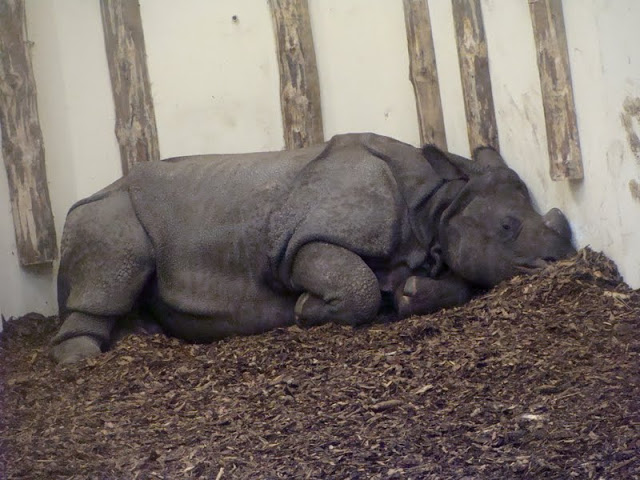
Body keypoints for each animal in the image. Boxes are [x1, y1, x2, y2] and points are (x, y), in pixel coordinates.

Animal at [51, 133, 575, 364]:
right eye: (507, 227)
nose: (560, 261)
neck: (435, 204)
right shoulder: (303, 241)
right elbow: (356, 284)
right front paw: (306, 308)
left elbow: (454, 286)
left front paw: (408, 294)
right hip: (107, 210)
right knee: (115, 262)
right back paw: (83, 357)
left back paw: (141, 334)